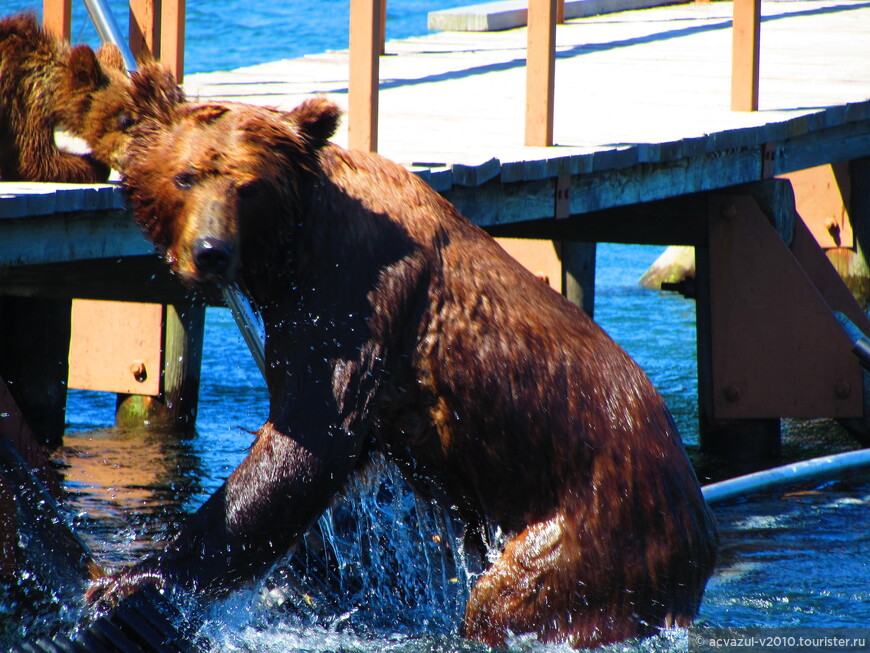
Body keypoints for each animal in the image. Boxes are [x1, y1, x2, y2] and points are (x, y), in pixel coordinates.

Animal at [93, 95, 724, 648]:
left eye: (248, 186)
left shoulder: (353, 298)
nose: (211, 251)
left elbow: (310, 442)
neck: (291, 251)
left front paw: (135, 580)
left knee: (515, 598)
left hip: (596, 522)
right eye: (185, 177)